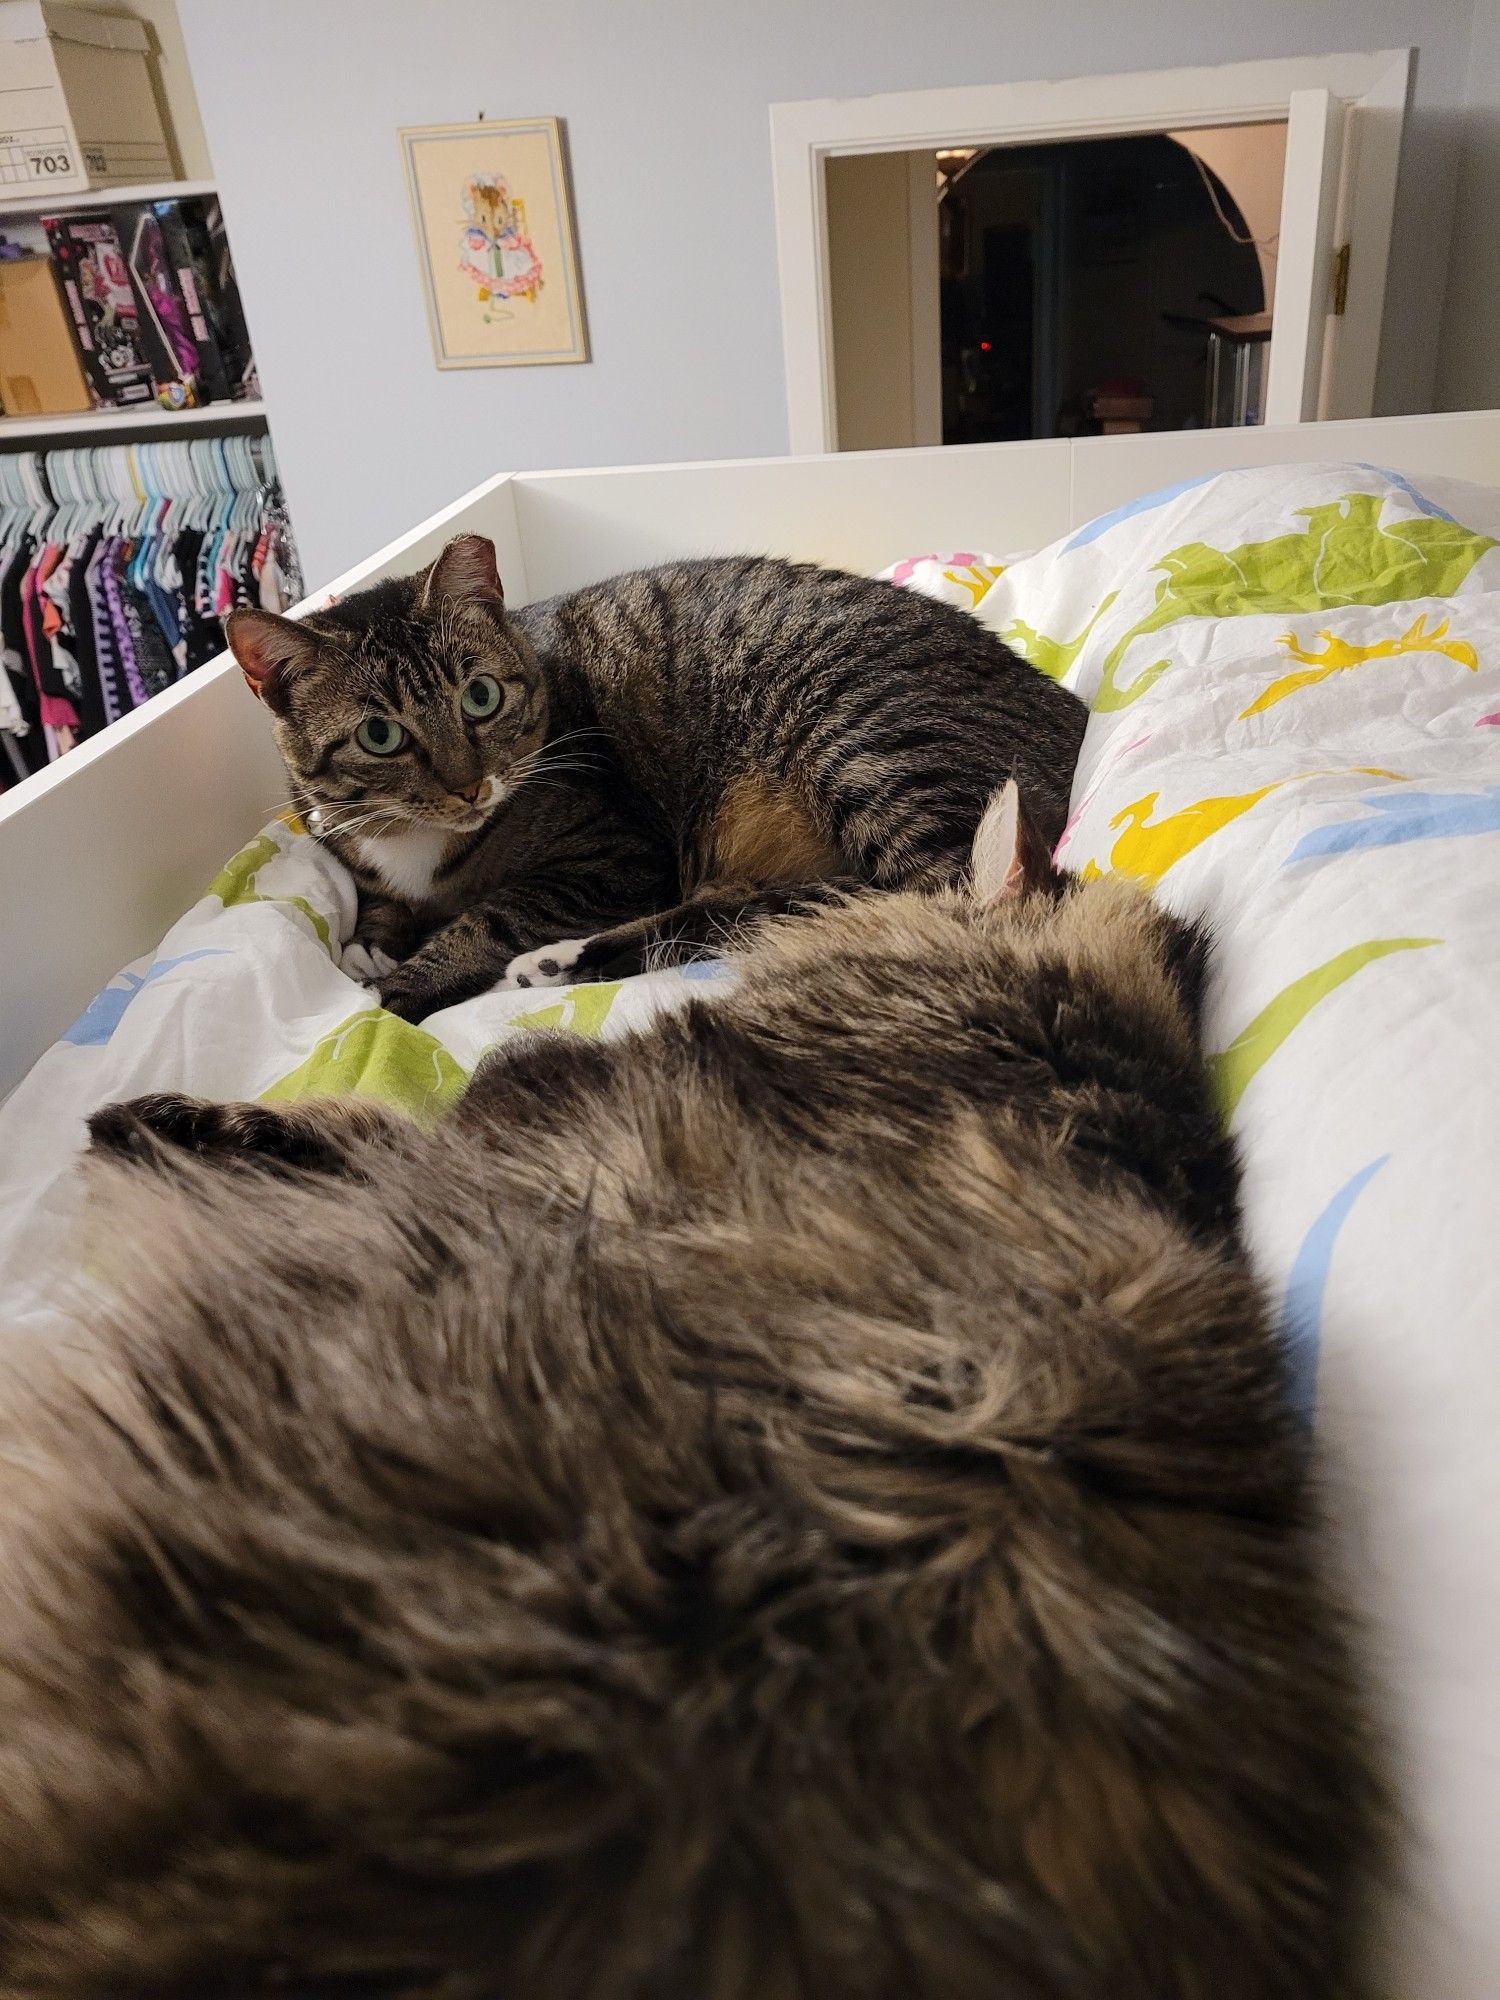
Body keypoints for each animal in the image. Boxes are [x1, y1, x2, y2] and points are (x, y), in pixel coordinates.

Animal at [223, 536, 1088, 1016]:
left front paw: (404, 981)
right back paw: (571, 961)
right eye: (380, 735)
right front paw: (372, 941)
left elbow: (493, 912)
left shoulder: (617, 853)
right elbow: (375, 898)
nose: (470, 787)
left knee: (922, 899)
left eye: (480, 696)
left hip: (869, 739)